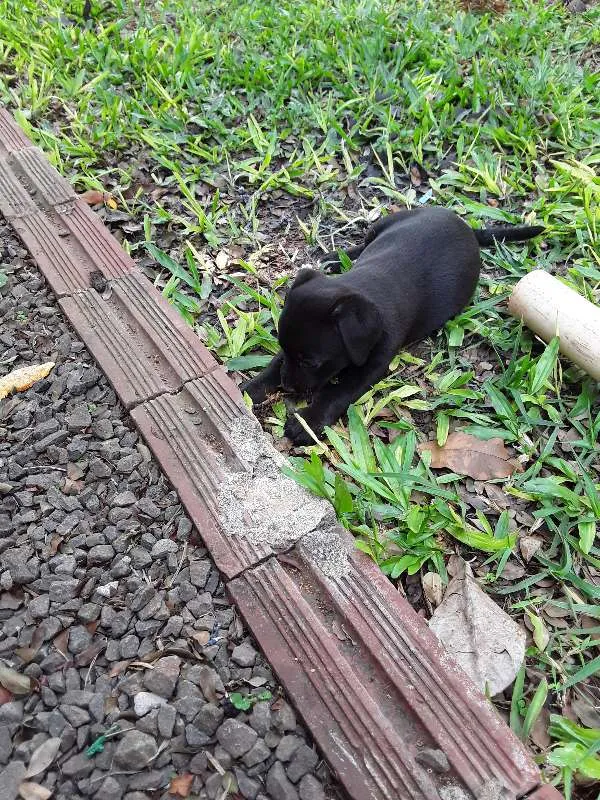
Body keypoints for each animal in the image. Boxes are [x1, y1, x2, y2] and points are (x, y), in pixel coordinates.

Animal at [244, 206, 544, 444]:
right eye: (283, 347)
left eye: (311, 362)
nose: (287, 387)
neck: (360, 287)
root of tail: (465, 226)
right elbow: (273, 366)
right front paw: (249, 390)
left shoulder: (371, 367)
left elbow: (337, 392)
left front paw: (308, 421)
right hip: (384, 224)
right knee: (363, 244)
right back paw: (334, 257)